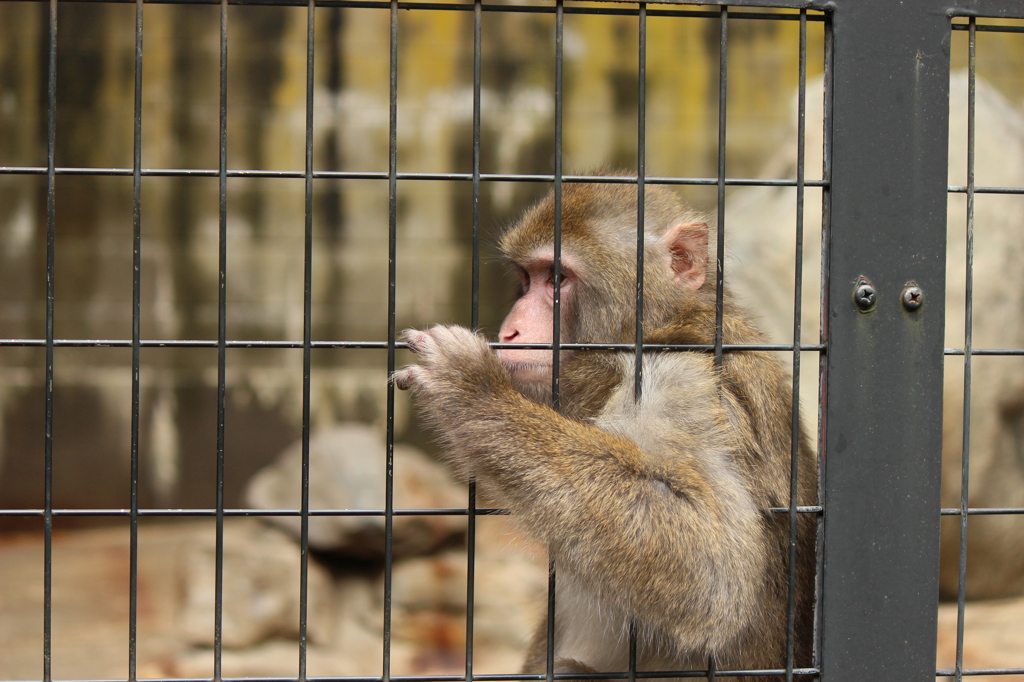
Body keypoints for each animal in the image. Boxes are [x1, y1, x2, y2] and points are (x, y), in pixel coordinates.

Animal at [391, 174, 815, 679]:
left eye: (557, 279)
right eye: (526, 280)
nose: (510, 330)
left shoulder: (684, 381)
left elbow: (710, 568)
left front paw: (473, 389)